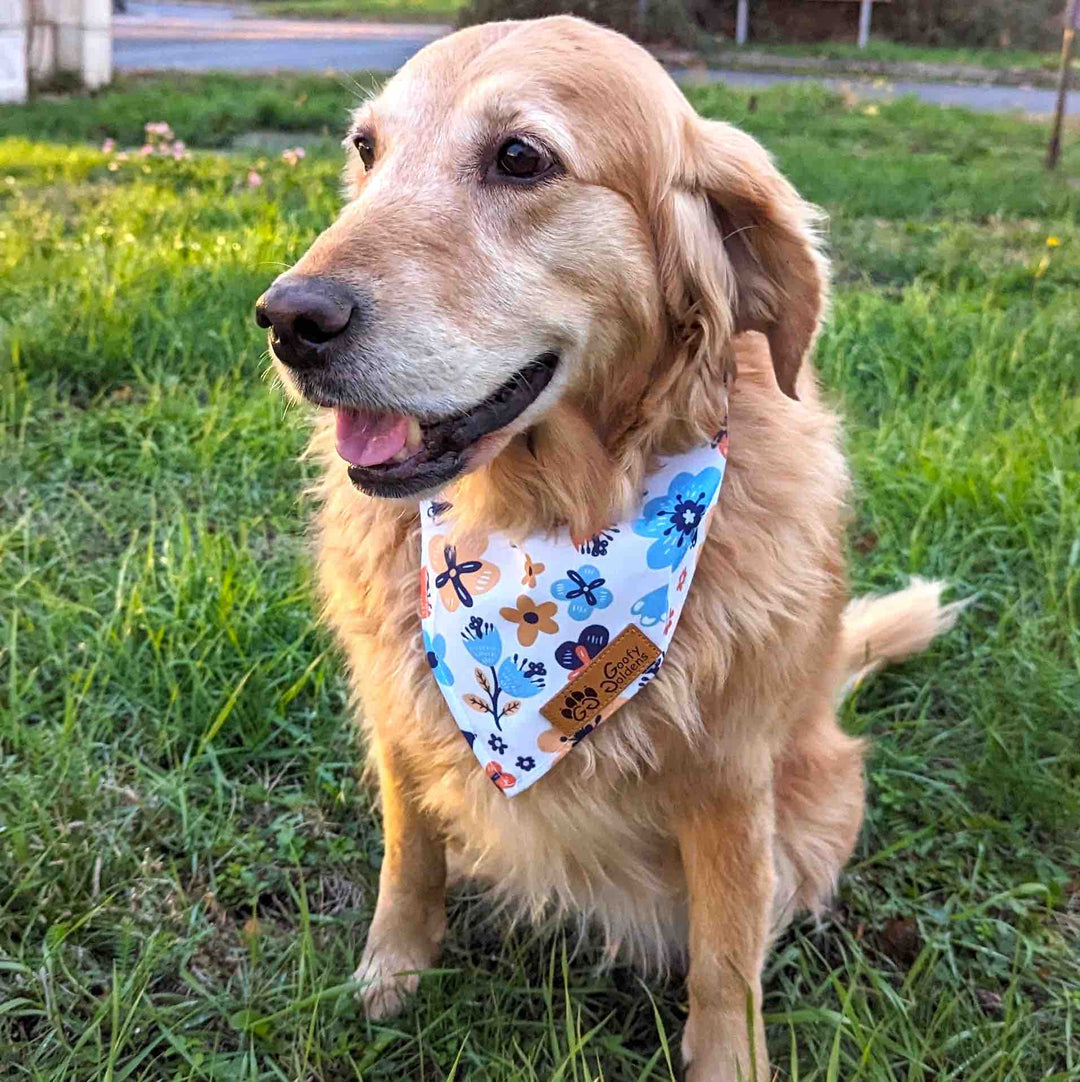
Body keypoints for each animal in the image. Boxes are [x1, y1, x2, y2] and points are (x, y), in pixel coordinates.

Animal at [255, 14, 965, 1073]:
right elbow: (408, 859)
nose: (288, 319)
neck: (540, 525)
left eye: (520, 158)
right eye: (366, 150)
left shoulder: (731, 783)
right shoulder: (399, 723)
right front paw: (390, 973)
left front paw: (728, 1061)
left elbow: (726, 956)